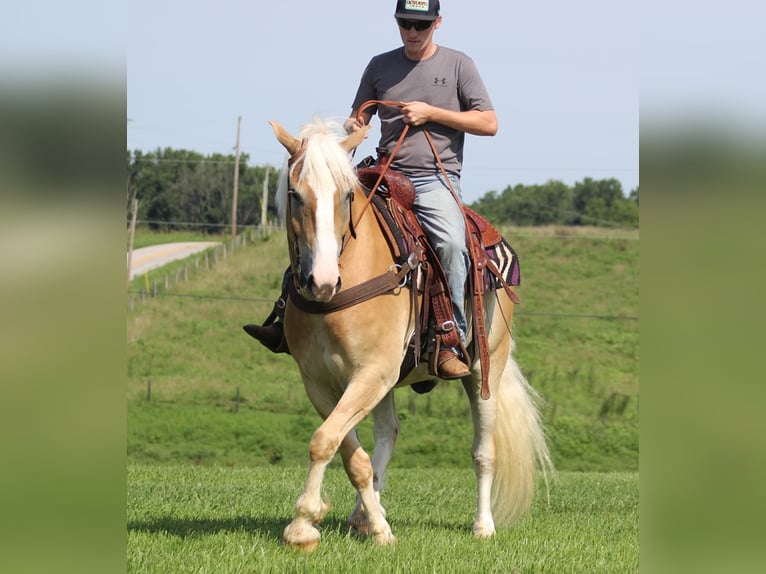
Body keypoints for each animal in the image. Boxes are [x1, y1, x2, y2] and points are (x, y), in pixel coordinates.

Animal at [270, 118, 552, 552]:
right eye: (294, 194)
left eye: (347, 195)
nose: (322, 281)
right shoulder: (320, 381)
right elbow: (346, 450)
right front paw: (354, 523)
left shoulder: (372, 373)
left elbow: (325, 440)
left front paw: (306, 524)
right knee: (388, 434)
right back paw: (364, 515)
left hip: (485, 369)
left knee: (483, 452)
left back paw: (483, 525)